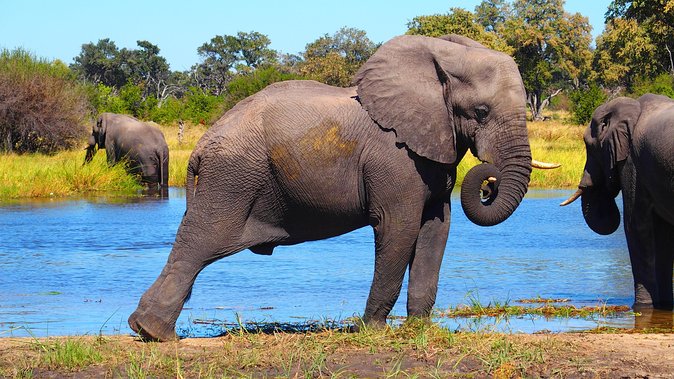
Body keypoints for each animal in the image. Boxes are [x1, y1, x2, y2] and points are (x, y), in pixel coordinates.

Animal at [131, 35, 552, 342]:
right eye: (481, 112)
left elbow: (436, 230)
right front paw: (372, 331)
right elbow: (398, 229)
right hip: (232, 178)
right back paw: (154, 334)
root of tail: (201, 145)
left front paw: (420, 329)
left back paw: (148, 331)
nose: (488, 182)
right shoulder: (394, 160)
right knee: (200, 242)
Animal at [560, 93, 672, 310]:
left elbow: (635, 226)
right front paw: (664, 305)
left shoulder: (632, 163)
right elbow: (662, 234)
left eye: (588, 145)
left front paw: (642, 307)